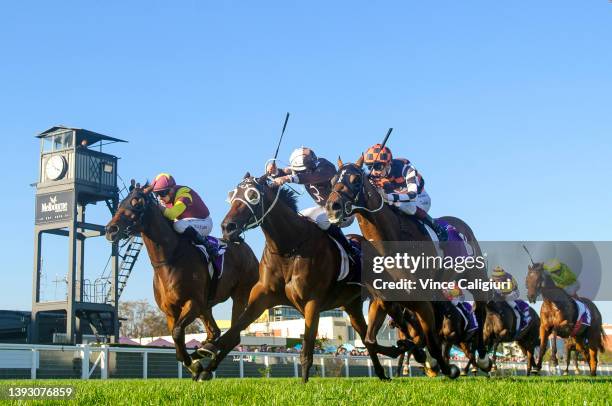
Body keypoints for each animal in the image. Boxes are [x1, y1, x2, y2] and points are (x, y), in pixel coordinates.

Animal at [105, 187, 258, 378]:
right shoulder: (170, 311)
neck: (170, 259)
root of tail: (247, 249)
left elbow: (178, 333)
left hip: (240, 293)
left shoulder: (192, 303)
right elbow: (175, 337)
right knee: (214, 332)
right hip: (206, 306)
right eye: (121, 203)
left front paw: (195, 365)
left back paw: (207, 365)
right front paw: (193, 364)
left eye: (137, 203)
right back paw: (203, 351)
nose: (110, 229)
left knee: (233, 335)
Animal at [192, 174, 402, 380]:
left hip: (383, 297)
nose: (227, 227)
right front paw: (204, 355)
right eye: (232, 195)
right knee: (368, 338)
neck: (289, 249)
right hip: (352, 306)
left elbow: (307, 347)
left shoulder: (312, 302)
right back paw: (384, 371)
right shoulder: (261, 297)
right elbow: (234, 332)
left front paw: (304, 382)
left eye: (252, 195)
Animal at [326, 158, 492, 378]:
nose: (332, 206)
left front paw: (445, 367)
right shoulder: (384, 300)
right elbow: (371, 340)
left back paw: (482, 358)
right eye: (332, 180)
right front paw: (415, 355)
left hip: (474, 276)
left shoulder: (420, 301)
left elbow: (431, 342)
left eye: (355, 180)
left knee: (480, 311)